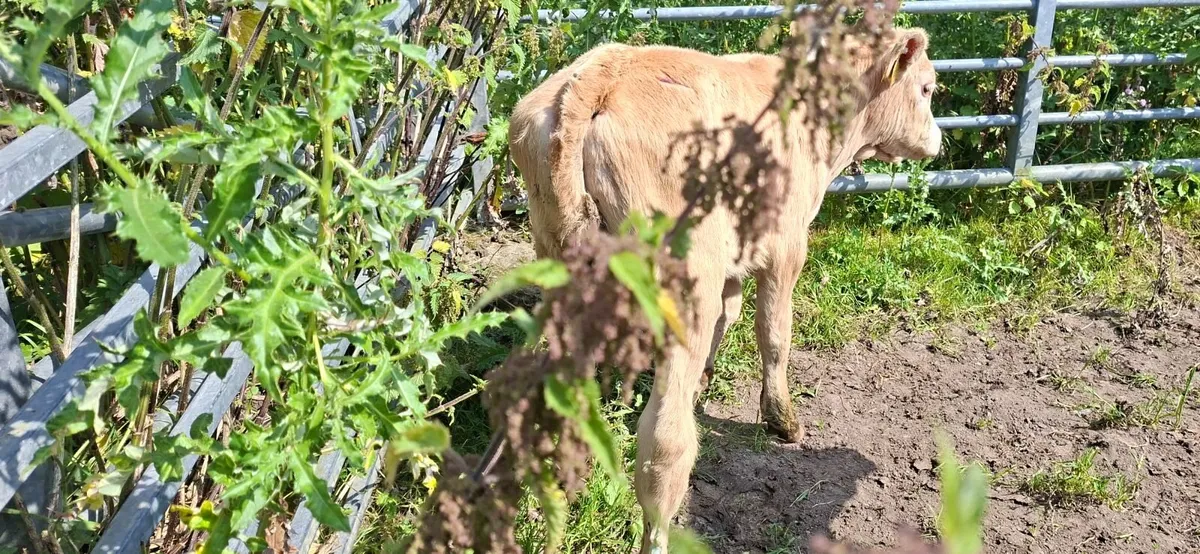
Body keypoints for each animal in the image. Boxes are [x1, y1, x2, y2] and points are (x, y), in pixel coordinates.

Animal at [508, 26, 941, 553]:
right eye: (926, 88)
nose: (937, 140)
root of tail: (602, 72)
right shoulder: (786, 246)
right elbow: (774, 333)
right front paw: (782, 419)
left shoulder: (736, 254)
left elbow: (728, 315)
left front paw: (708, 381)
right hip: (685, 278)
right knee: (665, 441)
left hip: (556, 259)